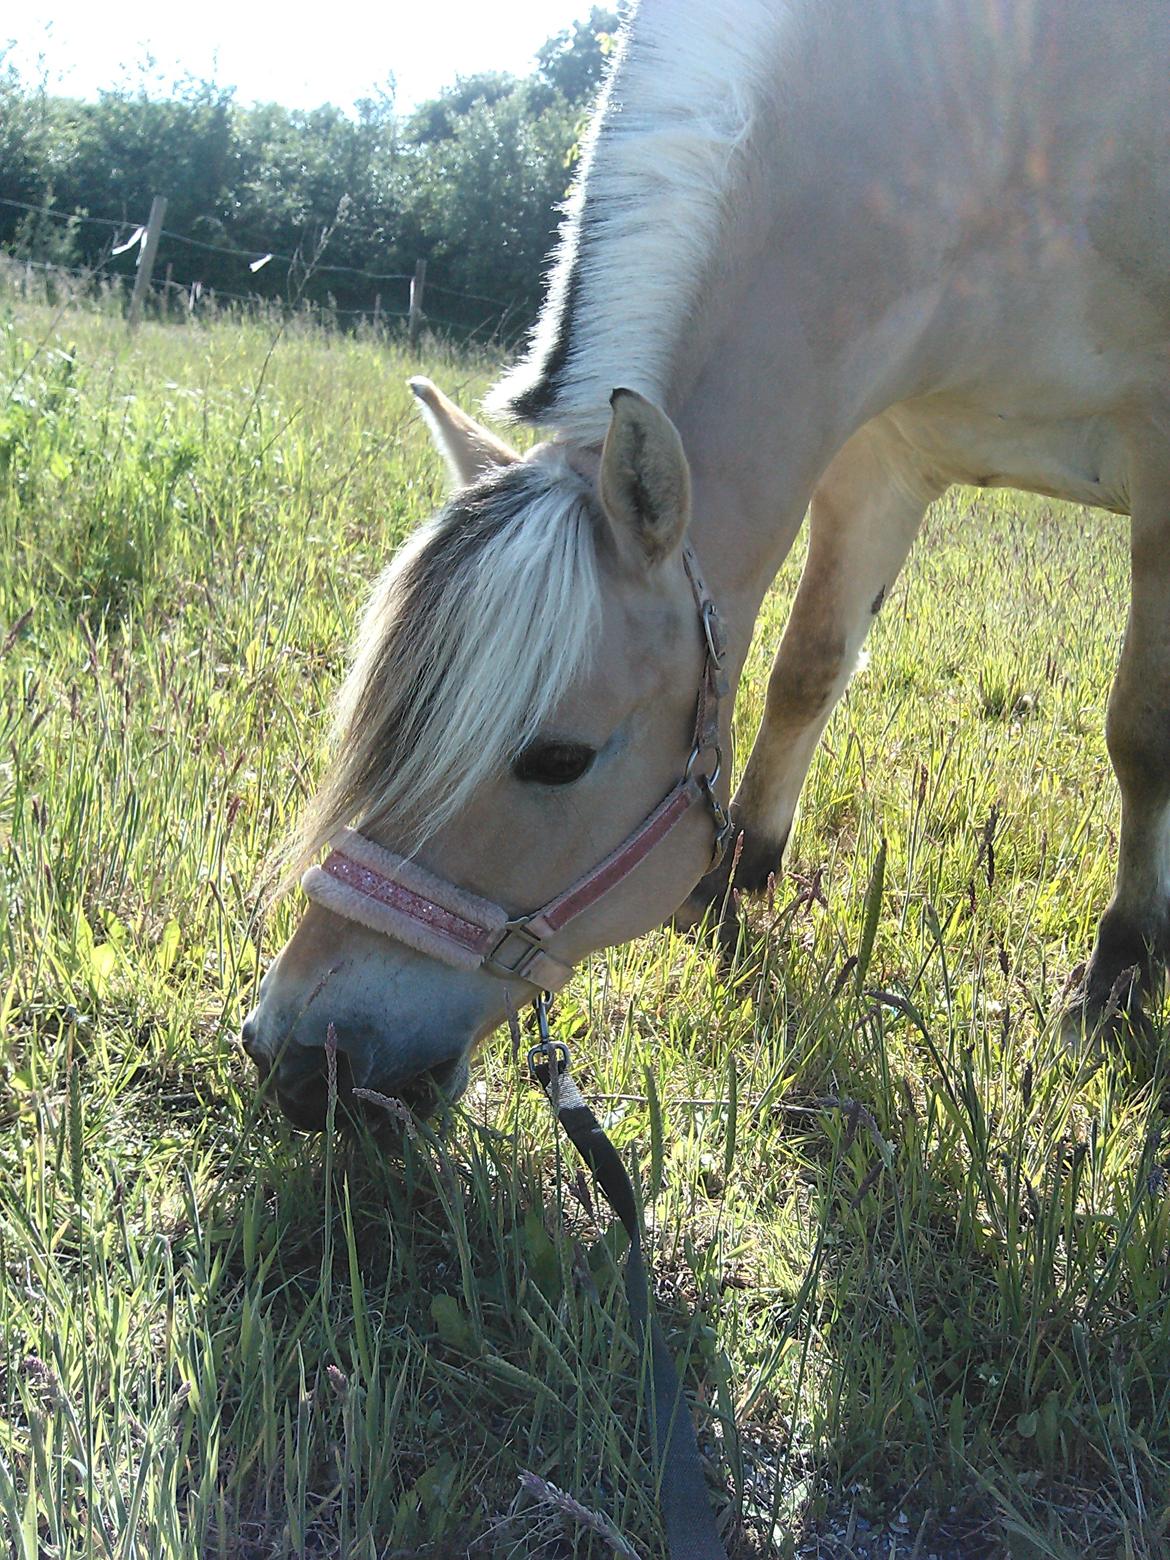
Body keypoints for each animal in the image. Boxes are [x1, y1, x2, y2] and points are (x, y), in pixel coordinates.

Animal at [240, 0, 1170, 1129]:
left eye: (557, 758)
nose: (298, 1057)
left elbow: (1142, 734)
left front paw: (1117, 978)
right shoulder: (878, 451)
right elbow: (807, 671)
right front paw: (732, 887)